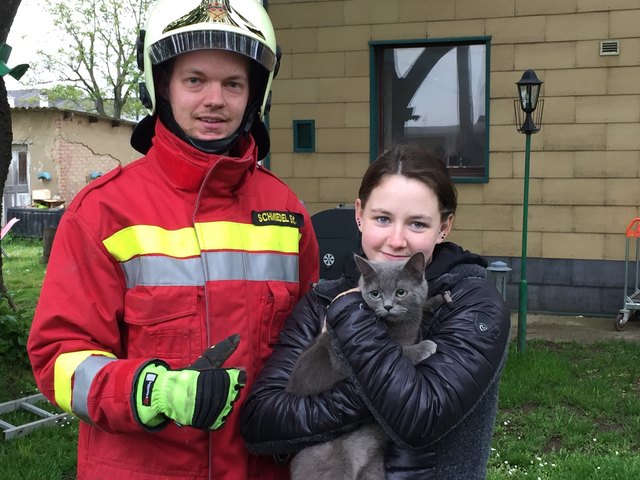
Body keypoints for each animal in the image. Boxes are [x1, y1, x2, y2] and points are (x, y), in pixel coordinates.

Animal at [284, 251, 440, 480]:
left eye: (401, 292)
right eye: (375, 294)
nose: (387, 306)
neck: (399, 326)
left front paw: (436, 300)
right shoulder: (342, 356)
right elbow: (400, 351)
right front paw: (425, 346)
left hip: (373, 466)